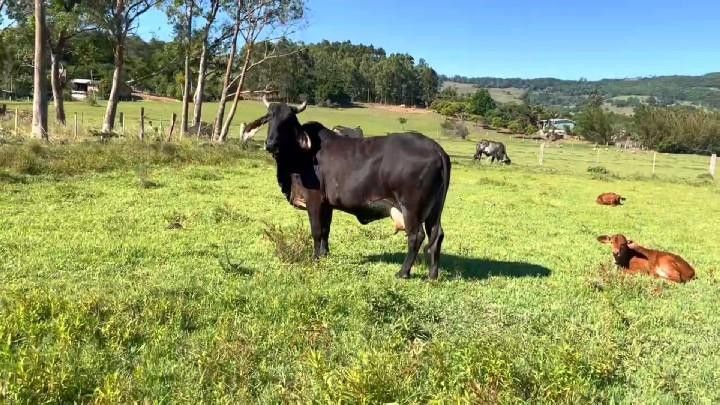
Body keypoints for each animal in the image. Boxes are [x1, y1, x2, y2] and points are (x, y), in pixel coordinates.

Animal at [245, 95, 452, 278]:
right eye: (269, 118)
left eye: (288, 121)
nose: (270, 144)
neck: (301, 155)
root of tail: (437, 149)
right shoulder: (327, 205)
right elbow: (326, 230)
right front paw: (324, 254)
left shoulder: (314, 201)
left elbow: (316, 231)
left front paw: (315, 258)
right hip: (434, 211)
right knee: (437, 235)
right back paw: (432, 275)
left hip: (411, 208)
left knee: (416, 236)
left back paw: (403, 272)